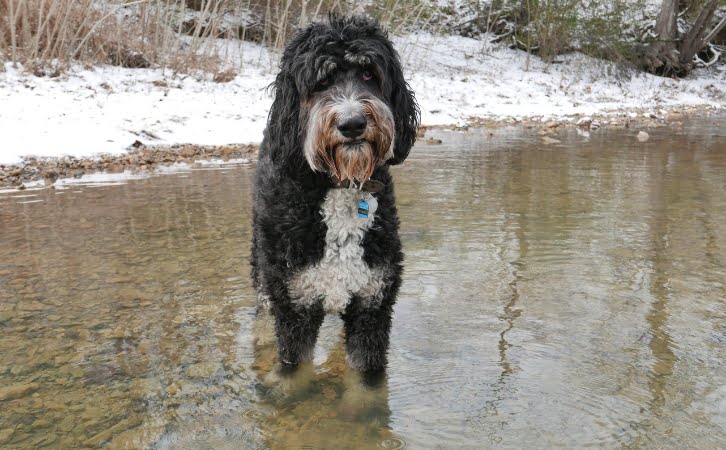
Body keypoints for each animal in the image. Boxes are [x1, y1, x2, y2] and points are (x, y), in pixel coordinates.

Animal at [252, 13, 418, 372]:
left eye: (369, 73)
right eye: (321, 80)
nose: (353, 123)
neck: (339, 183)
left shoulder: (372, 305)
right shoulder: (295, 307)